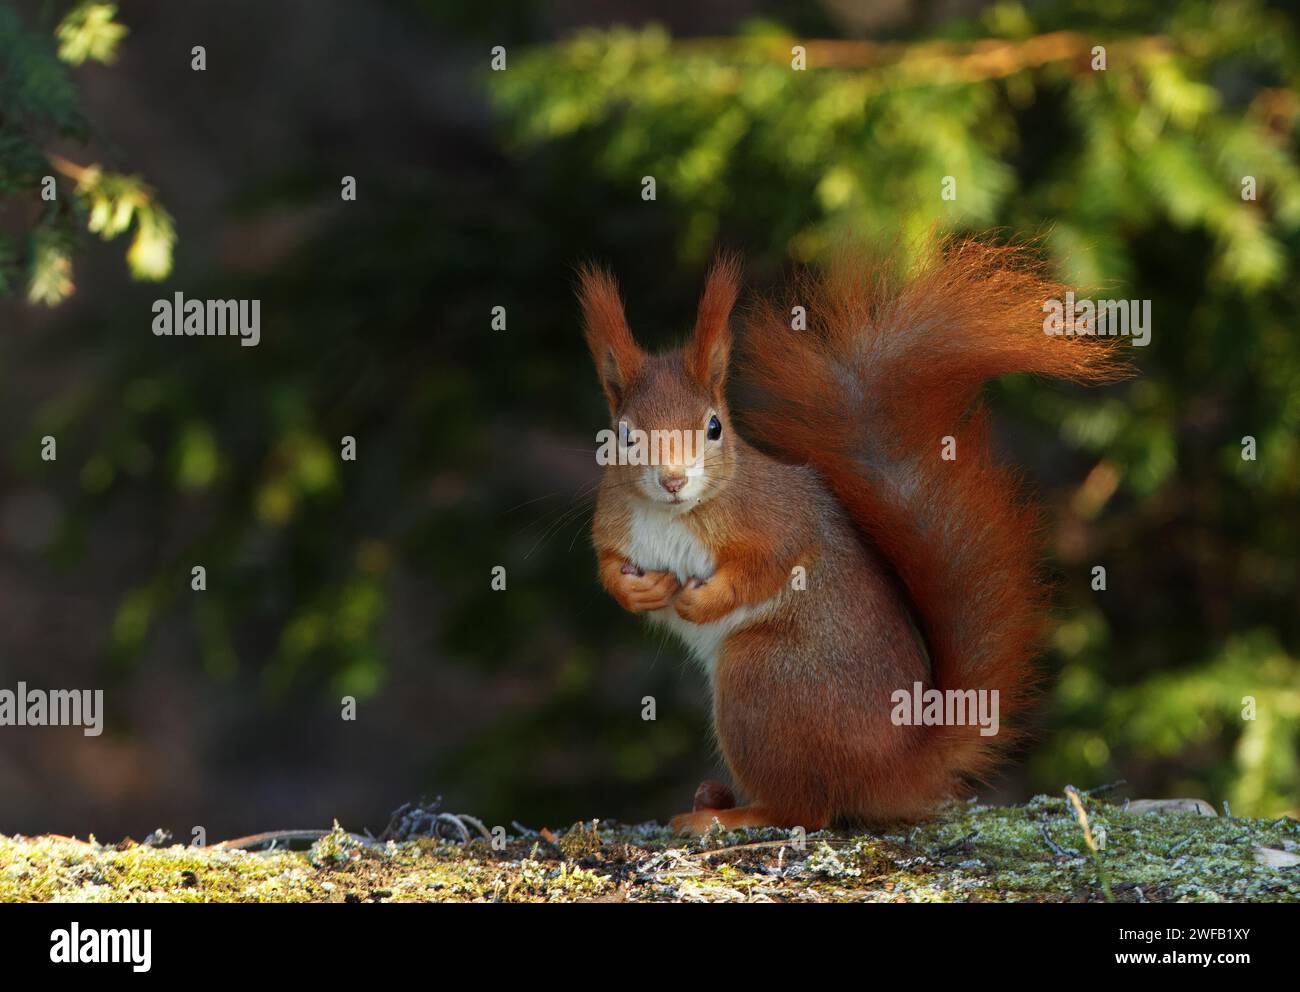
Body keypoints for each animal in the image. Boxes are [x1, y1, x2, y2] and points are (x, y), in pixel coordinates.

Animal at [579, 236, 1128, 832]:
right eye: (624, 434)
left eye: (714, 427)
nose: (673, 480)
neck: (672, 514)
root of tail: (895, 770)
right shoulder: (612, 528)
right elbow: (607, 570)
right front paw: (640, 591)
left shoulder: (777, 522)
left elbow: (767, 567)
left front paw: (699, 603)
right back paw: (714, 799)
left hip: (763, 678)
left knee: (807, 809)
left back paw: (731, 816)